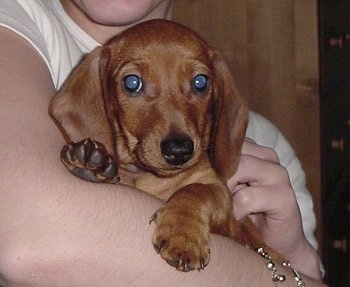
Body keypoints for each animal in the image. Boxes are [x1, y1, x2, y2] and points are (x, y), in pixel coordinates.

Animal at [49, 18, 280, 272]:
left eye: (200, 82)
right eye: (132, 82)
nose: (178, 150)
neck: (150, 177)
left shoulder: (224, 204)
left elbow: (195, 190)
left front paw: (184, 234)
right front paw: (92, 163)